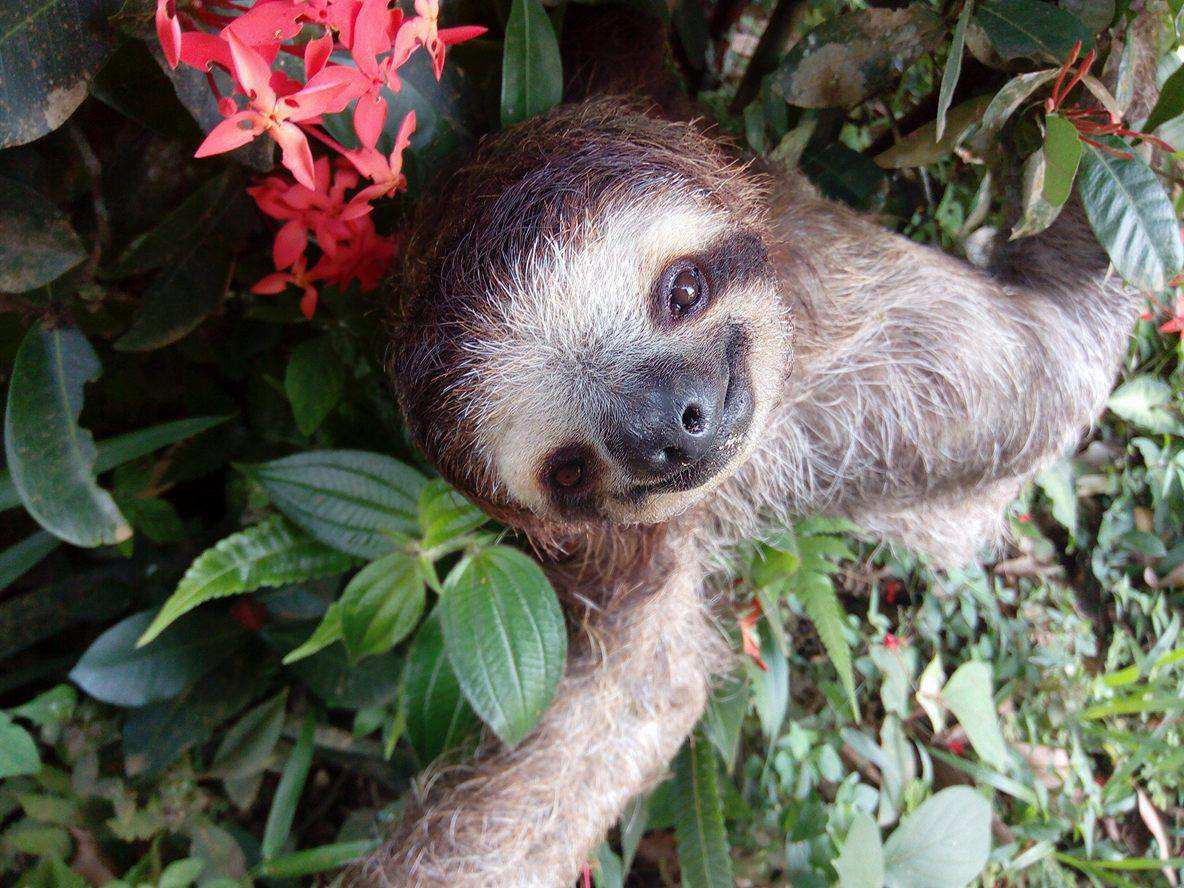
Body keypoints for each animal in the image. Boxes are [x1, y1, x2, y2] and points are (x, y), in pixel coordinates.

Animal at [344, 8, 1162, 886]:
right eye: (567, 468)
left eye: (684, 291)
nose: (672, 426)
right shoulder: (641, 546)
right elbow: (627, 708)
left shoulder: (906, 380)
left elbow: (1055, 352)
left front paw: (1115, 75)